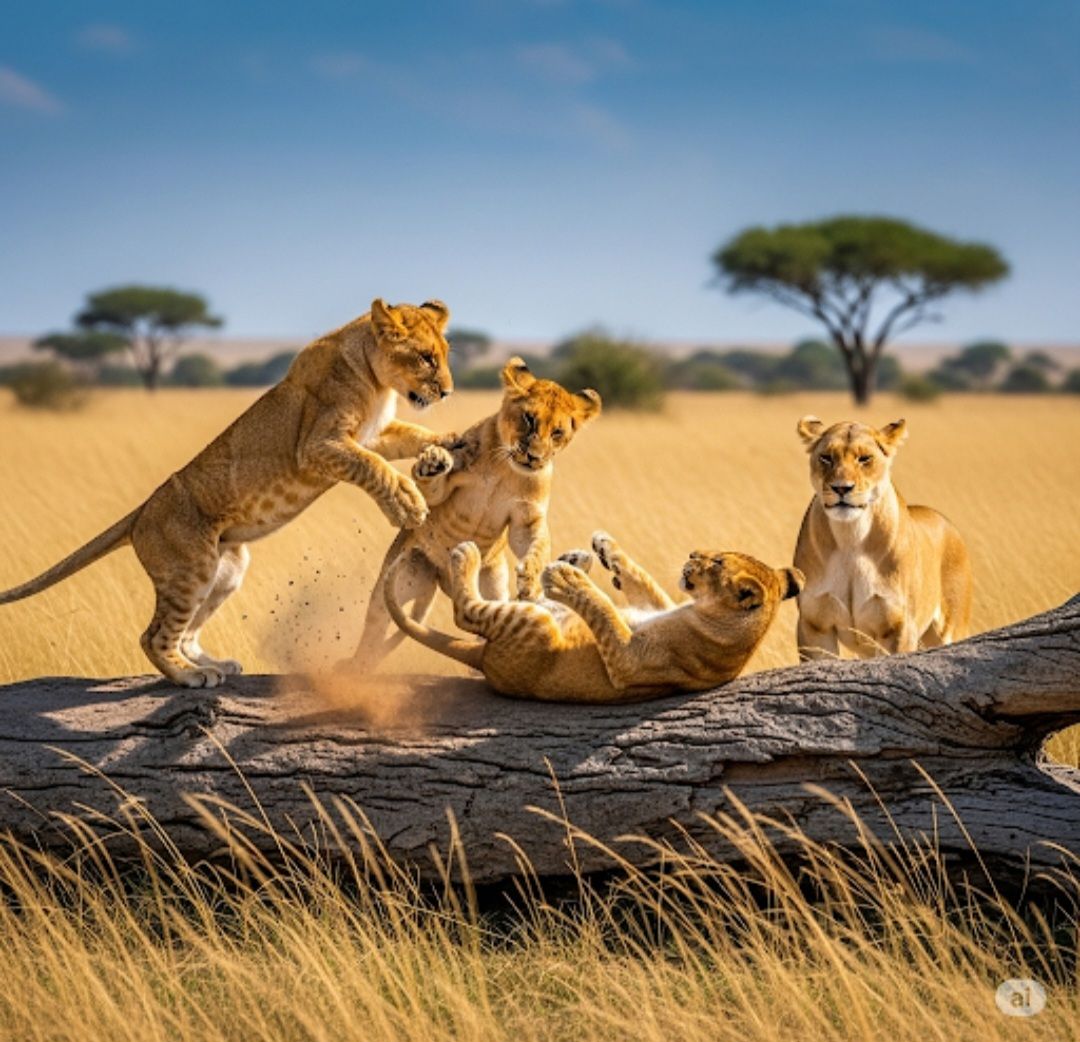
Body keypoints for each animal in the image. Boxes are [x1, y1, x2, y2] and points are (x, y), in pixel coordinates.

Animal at [0, 299, 454, 687]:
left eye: (445, 354)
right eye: (426, 357)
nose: (448, 392)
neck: (378, 381)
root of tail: (142, 512)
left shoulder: (373, 435)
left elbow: (413, 435)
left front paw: (442, 449)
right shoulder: (318, 445)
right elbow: (374, 467)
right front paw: (407, 504)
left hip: (226, 569)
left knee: (185, 633)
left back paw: (214, 663)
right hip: (191, 568)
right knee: (153, 636)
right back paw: (191, 676)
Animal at [343, 356, 601, 670]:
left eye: (558, 432)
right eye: (529, 419)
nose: (534, 457)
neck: (506, 467)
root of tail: (442, 580)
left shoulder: (526, 518)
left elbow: (537, 544)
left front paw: (530, 578)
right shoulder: (444, 487)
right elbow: (431, 489)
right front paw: (432, 461)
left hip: (492, 586)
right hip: (399, 580)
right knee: (374, 630)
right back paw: (358, 668)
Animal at [384, 531, 803, 703]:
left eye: (716, 563)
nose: (692, 553)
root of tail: (484, 659)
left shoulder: (630, 663)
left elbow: (602, 608)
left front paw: (568, 578)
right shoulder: (656, 607)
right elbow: (640, 579)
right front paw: (604, 548)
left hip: (535, 628)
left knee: (466, 614)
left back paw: (468, 554)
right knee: (523, 594)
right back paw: (576, 558)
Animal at [793, 415, 972, 659]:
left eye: (865, 458)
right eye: (826, 458)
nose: (841, 488)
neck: (851, 538)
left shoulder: (898, 627)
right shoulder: (814, 625)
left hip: (949, 629)